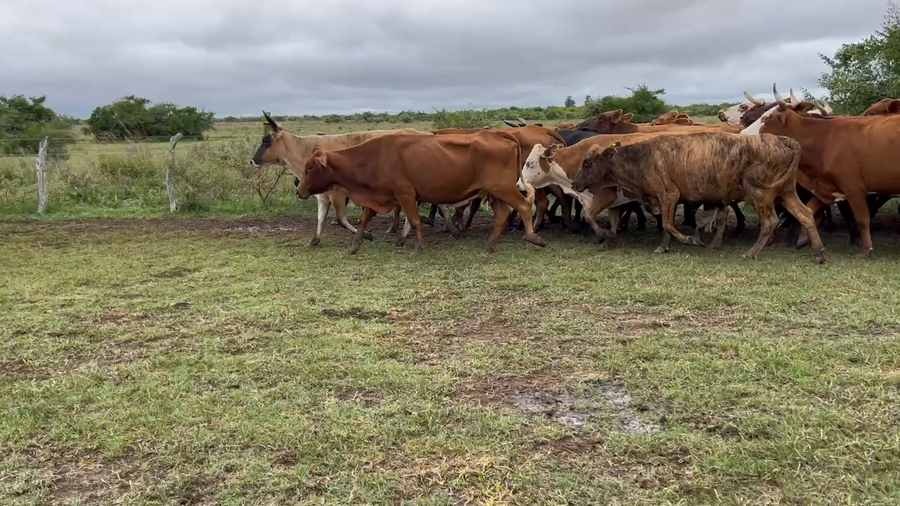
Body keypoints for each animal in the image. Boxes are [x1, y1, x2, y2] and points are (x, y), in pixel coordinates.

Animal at [251, 112, 431, 246]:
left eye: (266, 141)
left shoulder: (338, 194)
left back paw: (403, 237)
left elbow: (341, 219)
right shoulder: (323, 196)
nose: (252, 161)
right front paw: (314, 240)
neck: (305, 149)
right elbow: (320, 218)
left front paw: (366, 235)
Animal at [293, 131, 546, 255]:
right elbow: (365, 219)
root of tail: (501, 135)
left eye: (309, 168)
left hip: (503, 189)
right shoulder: (380, 196)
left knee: (524, 206)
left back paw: (533, 237)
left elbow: (414, 221)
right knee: (503, 215)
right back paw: (490, 246)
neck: (374, 157)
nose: (299, 190)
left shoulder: (405, 194)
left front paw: (418, 247)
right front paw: (355, 245)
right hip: (493, 193)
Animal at [571, 132, 826, 264]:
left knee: (770, 222)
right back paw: (819, 253)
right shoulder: (666, 200)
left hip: (761, 194)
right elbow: (666, 225)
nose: (574, 183)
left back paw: (752, 252)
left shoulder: (669, 195)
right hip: (786, 192)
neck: (643, 158)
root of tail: (785, 140)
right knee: (805, 215)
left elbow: (668, 224)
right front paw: (664, 247)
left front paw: (691, 240)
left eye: (588, 163)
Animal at [757, 85, 900, 257]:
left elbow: (862, 219)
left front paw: (866, 249)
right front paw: (803, 238)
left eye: (765, 118)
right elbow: (810, 209)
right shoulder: (829, 186)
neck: (825, 139)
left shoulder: (853, 188)